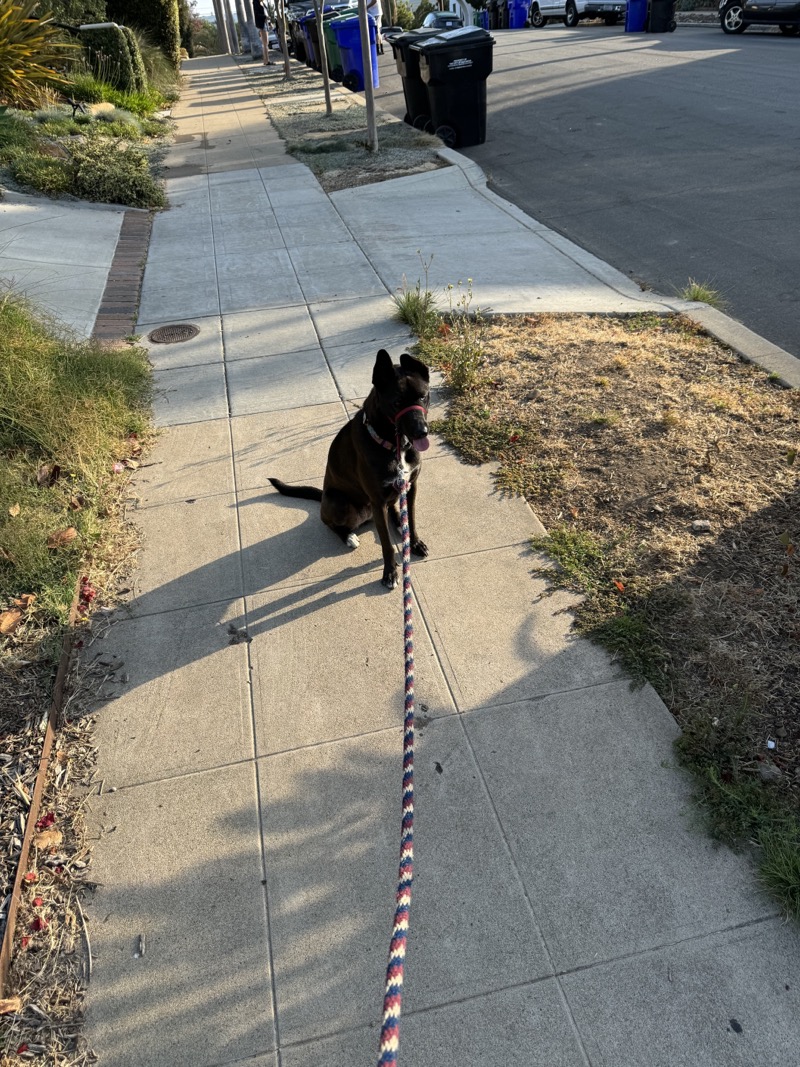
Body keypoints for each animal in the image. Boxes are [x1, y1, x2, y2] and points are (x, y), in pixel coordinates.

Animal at [267, 349, 433, 588]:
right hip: (339, 502)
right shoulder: (377, 500)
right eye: (397, 402)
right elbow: (386, 544)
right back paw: (348, 537)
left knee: (394, 510)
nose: (422, 432)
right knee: (329, 523)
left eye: (422, 396)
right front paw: (390, 572)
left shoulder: (411, 487)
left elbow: (410, 520)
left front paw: (415, 543)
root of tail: (323, 496)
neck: (394, 445)